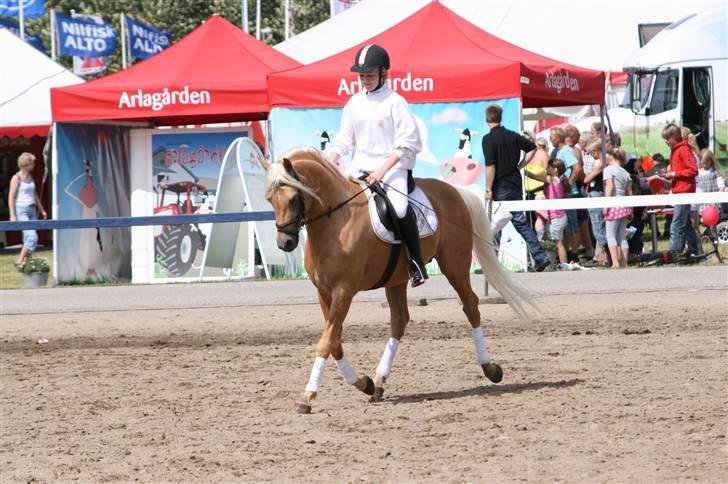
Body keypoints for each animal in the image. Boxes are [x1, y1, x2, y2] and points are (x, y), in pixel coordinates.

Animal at [262, 147, 528, 412]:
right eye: (269, 200)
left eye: (293, 198)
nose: (285, 243)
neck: (336, 222)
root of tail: (454, 191)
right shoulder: (323, 292)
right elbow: (334, 340)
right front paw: (364, 384)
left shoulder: (344, 290)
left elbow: (326, 341)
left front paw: (307, 397)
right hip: (397, 279)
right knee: (399, 321)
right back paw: (379, 382)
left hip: (454, 265)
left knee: (470, 306)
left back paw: (490, 368)